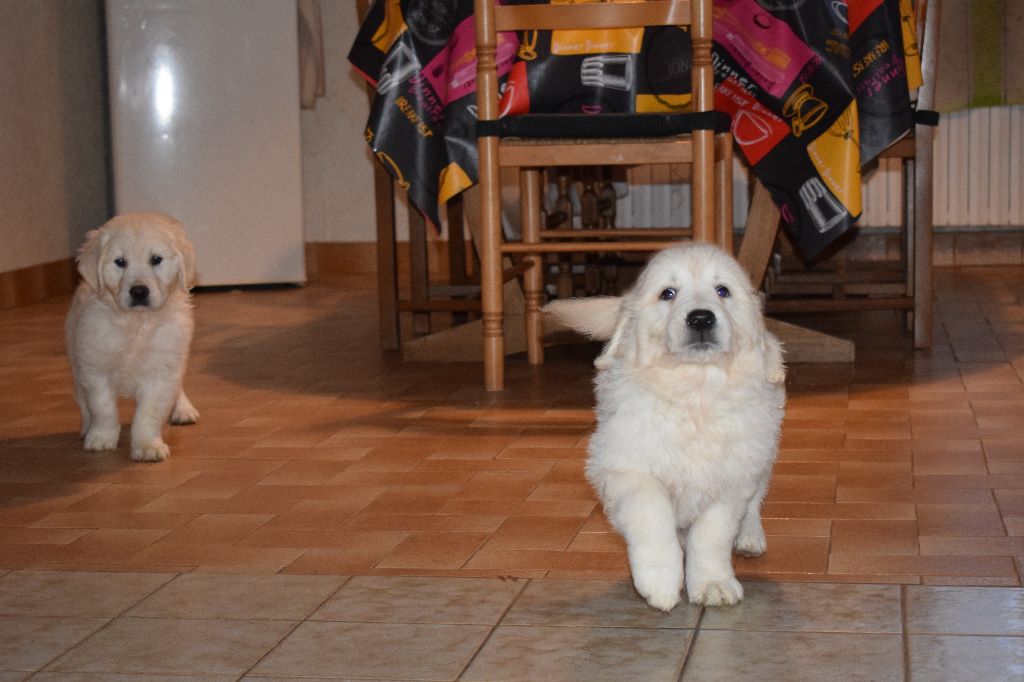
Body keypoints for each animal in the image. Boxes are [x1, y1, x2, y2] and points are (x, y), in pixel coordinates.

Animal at [66, 212, 199, 458]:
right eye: (120, 262)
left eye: (156, 259)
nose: (138, 291)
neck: (137, 323)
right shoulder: (95, 368)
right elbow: (102, 408)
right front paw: (101, 438)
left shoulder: (162, 369)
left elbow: (148, 414)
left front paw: (147, 446)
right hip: (75, 357)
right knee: (82, 399)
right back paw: (87, 426)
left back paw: (183, 409)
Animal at [552, 242, 782, 610]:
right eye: (668, 293)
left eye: (722, 291)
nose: (701, 317)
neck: (695, 389)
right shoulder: (628, 468)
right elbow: (653, 517)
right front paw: (659, 583)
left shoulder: (731, 478)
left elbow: (712, 535)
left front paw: (713, 583)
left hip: (763, 449)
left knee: (755, 499)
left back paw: (749, 536)